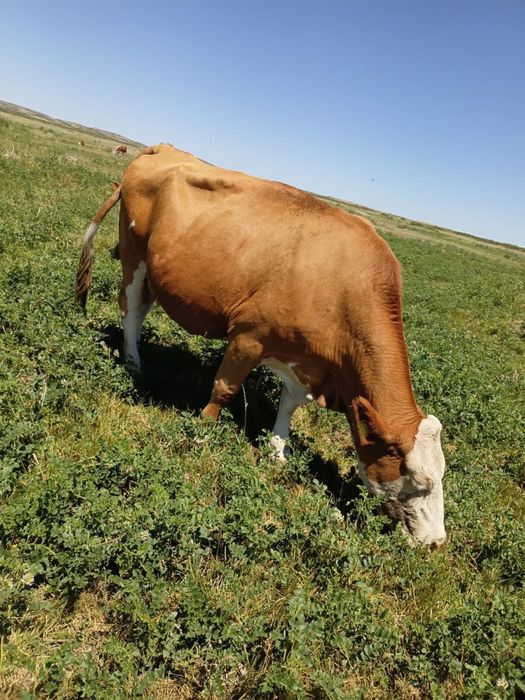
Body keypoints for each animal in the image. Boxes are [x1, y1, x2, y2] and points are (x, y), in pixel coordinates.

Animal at [76, 143, 446, 548]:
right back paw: (133, 362)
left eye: (441, 477)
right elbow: (224, 388)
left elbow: (289, 405)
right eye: (420, 484)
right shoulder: (249, 336)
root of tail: (163, 148)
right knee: (131, 310)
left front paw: (278, 450)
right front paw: (203, 432)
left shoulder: (303, 359)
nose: (436, 541)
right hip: (134, 257)